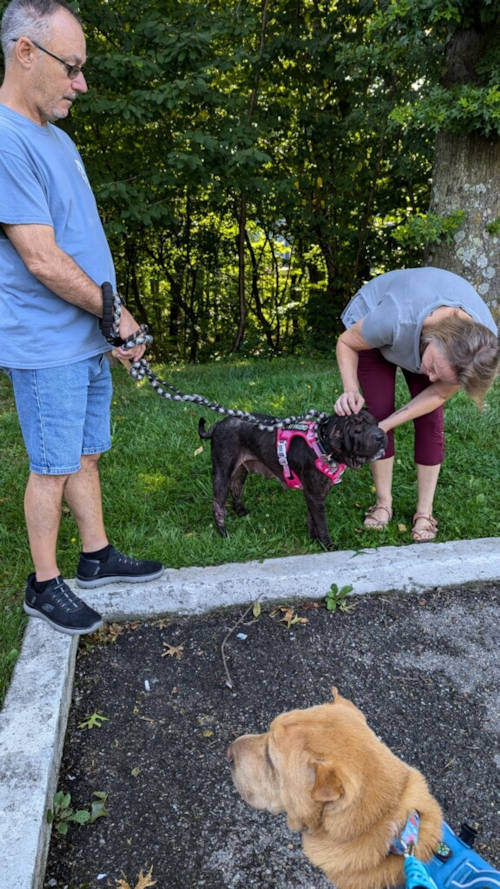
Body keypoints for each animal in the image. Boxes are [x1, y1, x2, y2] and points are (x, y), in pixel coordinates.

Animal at [199, 406, 386, 544]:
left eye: (376, 423)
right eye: (357, 431)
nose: (381, 435)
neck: (323, 443)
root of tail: (217, 425)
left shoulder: (316, 493)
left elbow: (312, 518)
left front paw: (313, 540)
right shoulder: (314, 494)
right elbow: (322, 523)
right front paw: (327, 545)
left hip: (241, 469)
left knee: (236, 486)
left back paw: (240, 511)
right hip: (222, 471)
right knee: (218, 505)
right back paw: (223, 533)